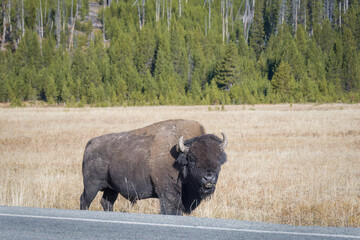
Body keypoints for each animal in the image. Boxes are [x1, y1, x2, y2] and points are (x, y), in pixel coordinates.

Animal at [81, 119, 228, 215]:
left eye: (219, 158)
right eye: (192, 159)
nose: (208, 178)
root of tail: (90, 143)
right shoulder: (169, 196)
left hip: (111, 189)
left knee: (106, 202)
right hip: (91, 186)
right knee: (84, 200)